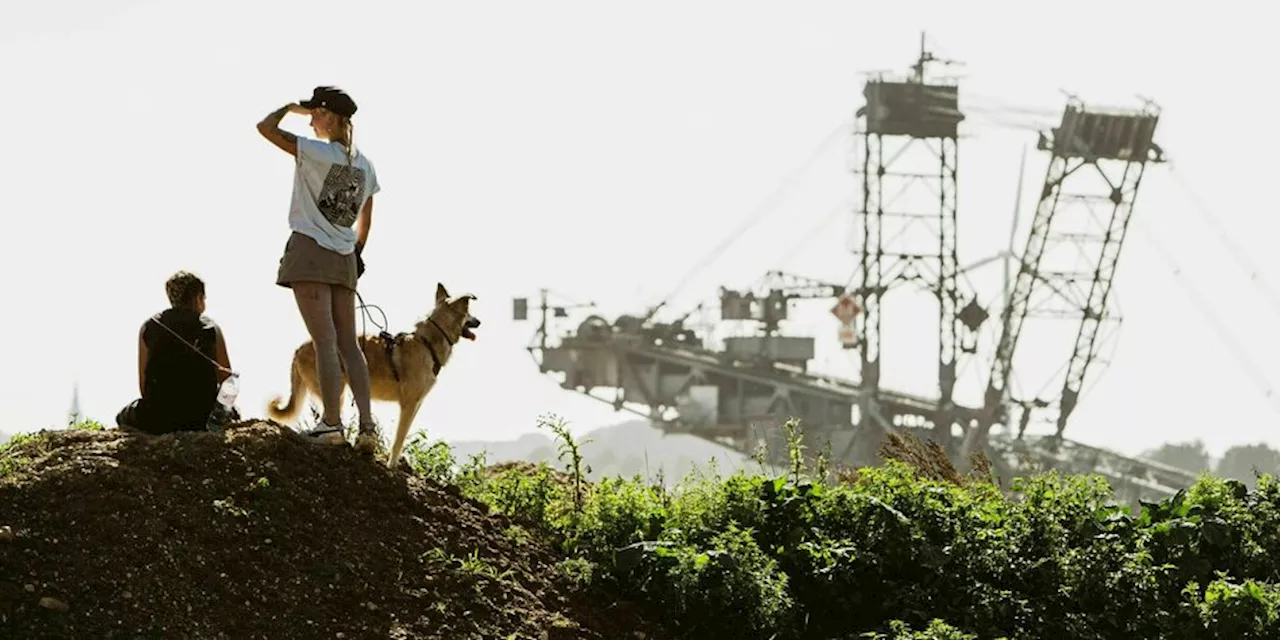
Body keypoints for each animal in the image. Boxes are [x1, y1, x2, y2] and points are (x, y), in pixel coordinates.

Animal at [266, 282, 481, 468]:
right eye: (470, 313)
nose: (479, 321)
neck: (427, 343)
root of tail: (299, 349)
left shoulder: (416, 404)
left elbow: (402, 437)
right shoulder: (409, 405)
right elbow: (399, 439)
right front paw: (392, 465)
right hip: (336, 390)